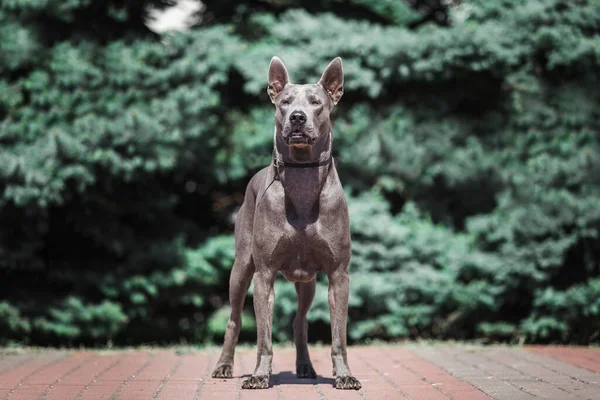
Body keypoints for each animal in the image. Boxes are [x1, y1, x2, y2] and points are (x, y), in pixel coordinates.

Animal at [212, 57, 360, 390]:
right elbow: (263, 337)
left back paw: (304, 365)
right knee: (234, 318)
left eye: (316, 102)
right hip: (241, 267)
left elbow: (339, 337)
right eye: (284, 102)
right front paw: (259, 375)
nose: (297, 117)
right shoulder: (264, 273)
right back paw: (224, 365)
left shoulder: (338, 275)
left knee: (299, 321)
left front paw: (345, 375)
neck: (302, 174)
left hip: (308, 282)